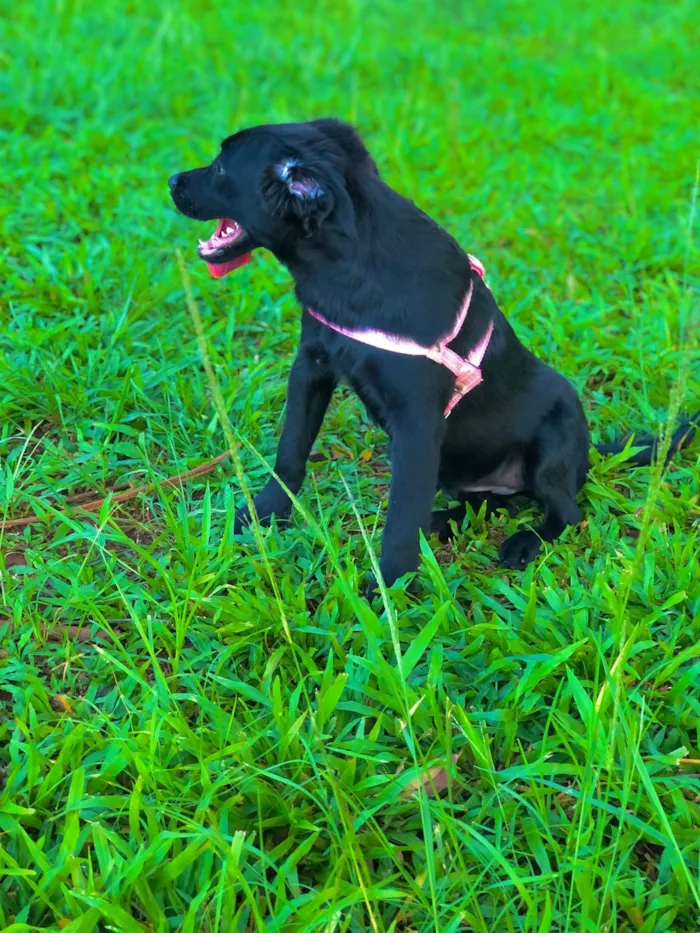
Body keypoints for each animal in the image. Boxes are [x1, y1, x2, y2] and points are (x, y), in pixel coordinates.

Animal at [168, 118, 696, 588]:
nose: (171, 180)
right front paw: (261, 516)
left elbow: (401, 516)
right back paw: (444, 521)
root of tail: (588, 455)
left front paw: (389, 590)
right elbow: (290, 454)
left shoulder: (417, 422)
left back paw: (523, 541)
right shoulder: (312, 367)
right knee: (488, 501)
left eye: (220, 166)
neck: (351, 266)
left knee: (566, 510)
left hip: (555, 435)